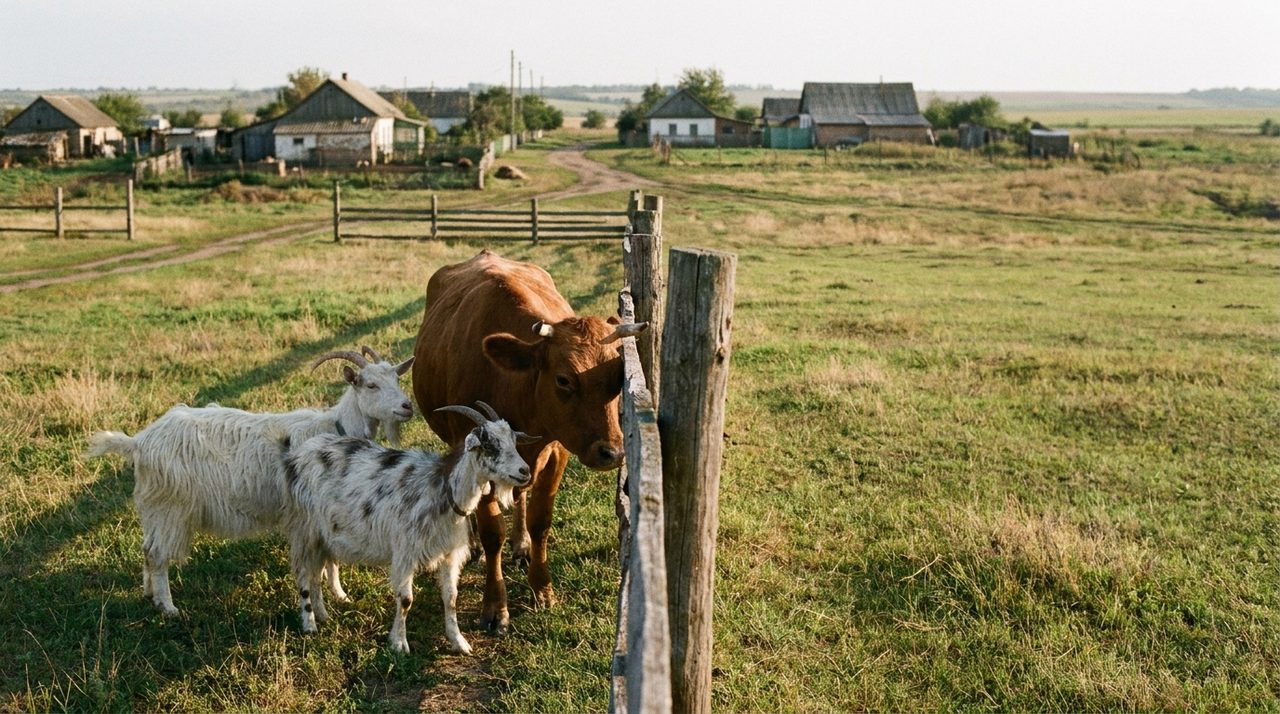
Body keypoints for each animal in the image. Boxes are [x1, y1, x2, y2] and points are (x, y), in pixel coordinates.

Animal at [84, 347, 414, 617]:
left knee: (146, 550)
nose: (407, 406)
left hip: (155, 510)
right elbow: (323, 561)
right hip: (170, 509)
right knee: (157, 556)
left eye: (397, 380)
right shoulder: (313, 513)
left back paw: (149, 594)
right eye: (370, 385)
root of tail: (139, 441)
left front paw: (339, 595)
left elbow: (330, 559)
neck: (333, 427)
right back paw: (168, 607)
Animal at [283, 401, 537, 654]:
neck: (443, 491)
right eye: (489, 445)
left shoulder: (449, 553)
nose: (525, 471)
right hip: (305, 530)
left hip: (322, 536)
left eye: (513, 441)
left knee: (316, 574)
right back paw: (309, 625)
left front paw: (459, 642)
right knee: (303, 574)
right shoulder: (406, 552)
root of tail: (302, 453)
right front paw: (399, 644)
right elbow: (406, 599)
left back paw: (323, 615)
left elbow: (451, 597)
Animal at [413, 249, 645, 632]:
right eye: (564, 380)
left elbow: (540, 521)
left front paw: (542, 587)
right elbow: (492, 532)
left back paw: (520, 545)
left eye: (616, 377)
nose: (611, 452)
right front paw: (495, 606)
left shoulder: (557, 451)